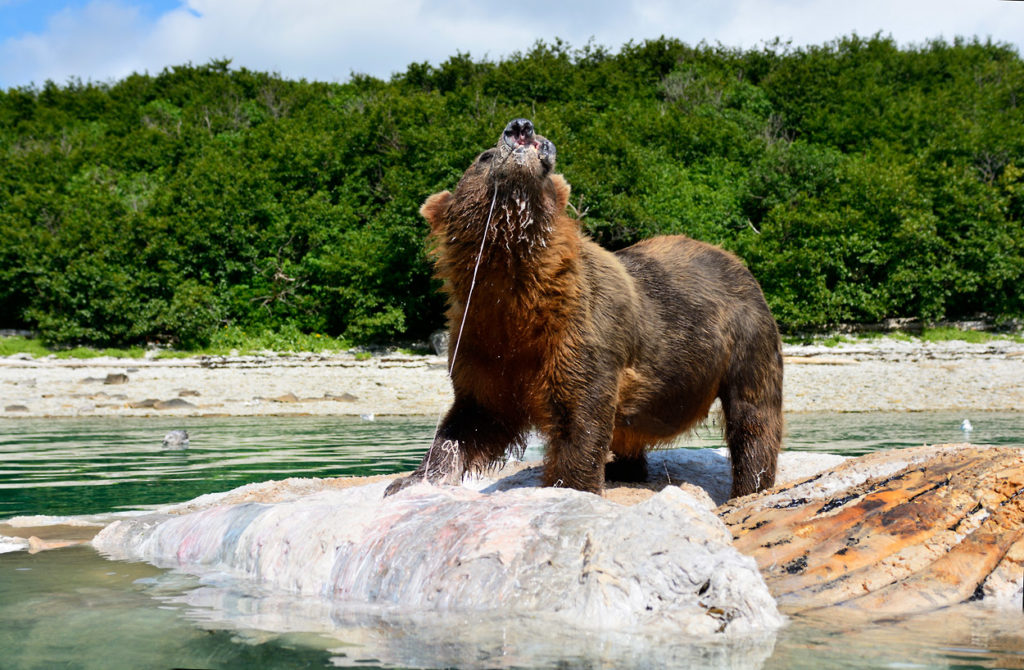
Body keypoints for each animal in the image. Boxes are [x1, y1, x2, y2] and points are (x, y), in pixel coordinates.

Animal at [385, 118, 782, 501]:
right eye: (483, 157)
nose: (521, 127)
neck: (516, 285)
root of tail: (732, 258)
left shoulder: (581, 331)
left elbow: (581, 413)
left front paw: (568, 484)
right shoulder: (484, 341)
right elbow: (472, 418)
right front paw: (410, 480)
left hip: (745, 334)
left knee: (754, 416)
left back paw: (749, 485)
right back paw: (627, 467)